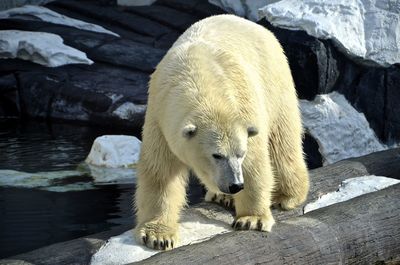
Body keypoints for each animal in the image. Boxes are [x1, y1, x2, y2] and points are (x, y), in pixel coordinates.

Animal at [134, 14, 310, 250]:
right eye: (216, 155)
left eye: (240, 153)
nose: (235, 185)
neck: (200, 78)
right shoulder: (160, 116)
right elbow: (160, 170)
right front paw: (158, 236)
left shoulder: (244, 108)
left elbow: (255, 163)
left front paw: (252, 219)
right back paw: (222, 196)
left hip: (274, 81)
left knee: (282, 140)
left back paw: (287, 195)